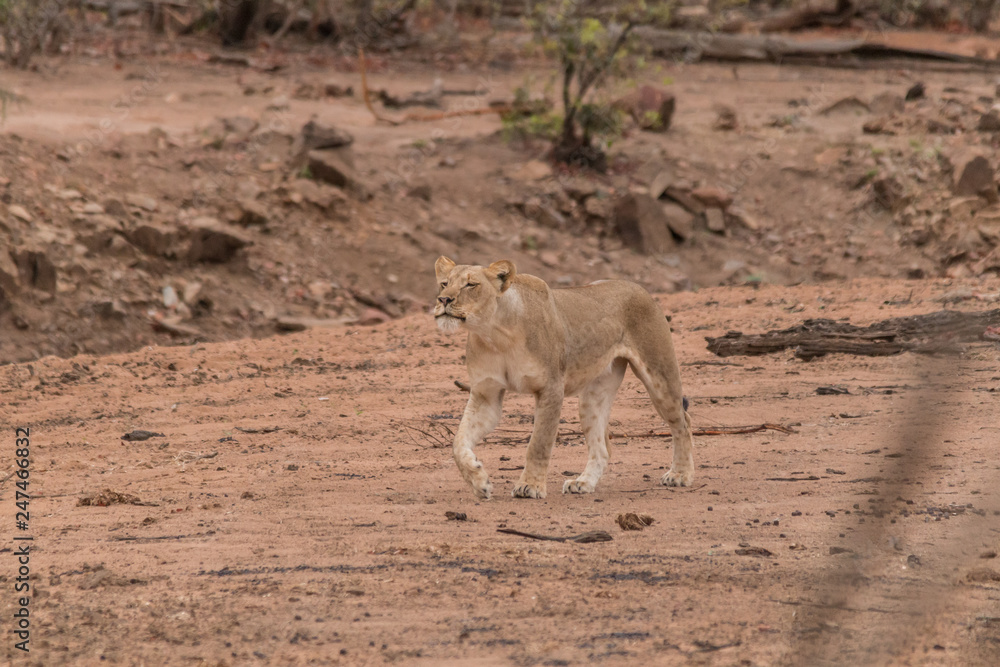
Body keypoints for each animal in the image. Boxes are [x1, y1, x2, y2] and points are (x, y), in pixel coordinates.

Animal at [434, 256, 693, 500]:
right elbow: (458, 443)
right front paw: (479, 482)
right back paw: (583, 482)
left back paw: (680, 475)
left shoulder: (551, 389)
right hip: (593, 397)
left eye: (470, 284)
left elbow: (538, 443)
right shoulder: (486, 395)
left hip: (660, 377)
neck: (495, 335)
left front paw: (530, 486)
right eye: (444, 284)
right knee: (603, 448)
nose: (443, 300)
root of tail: (639, 288)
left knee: (683, 422)